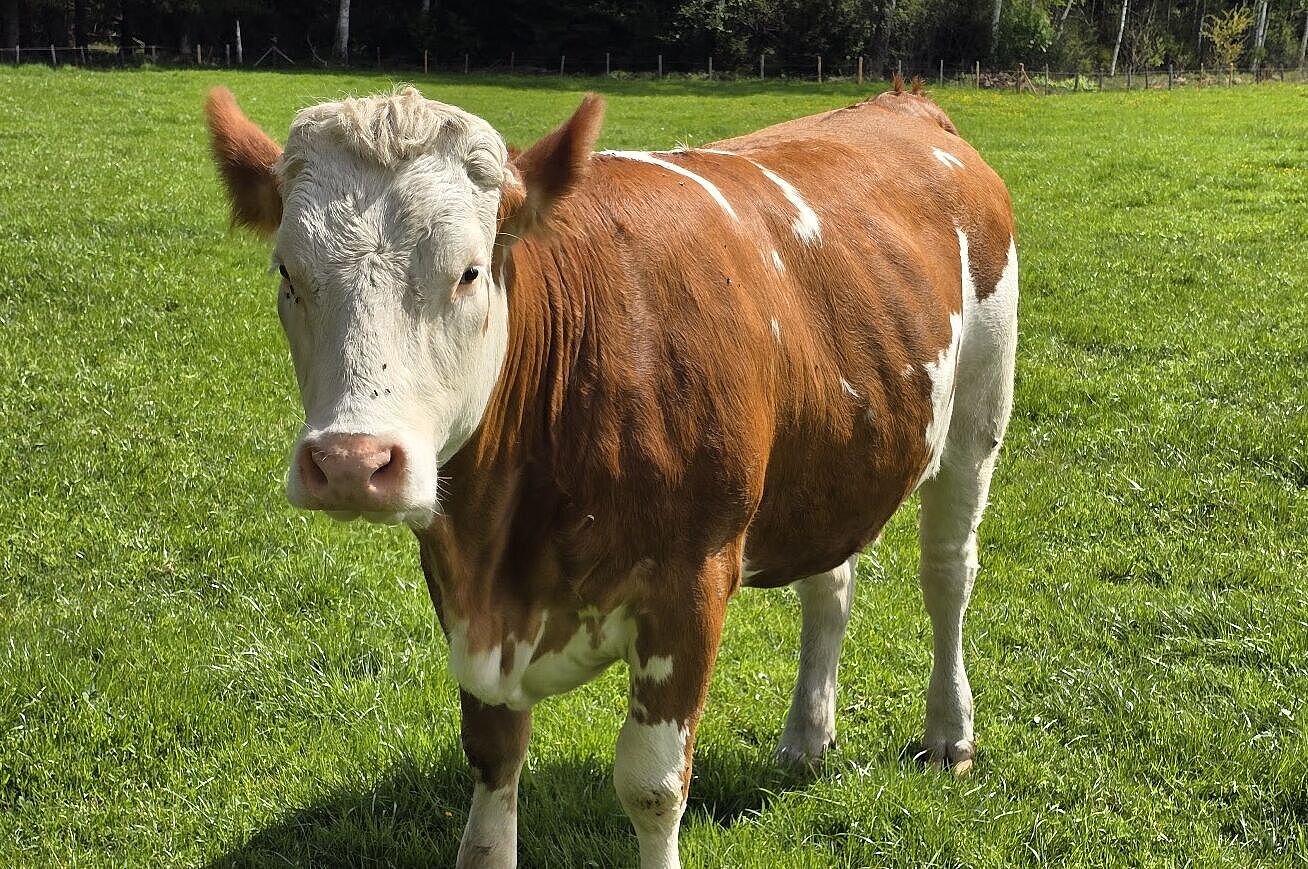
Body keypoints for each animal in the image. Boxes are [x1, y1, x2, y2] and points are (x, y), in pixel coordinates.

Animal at [205, 78, 1017, 868]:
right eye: (288, 272)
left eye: (468, 272)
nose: (350, 462)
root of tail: (905, 103)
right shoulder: (466, 596)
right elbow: (493, 762)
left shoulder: (691, 583)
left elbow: (652, 784)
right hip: (832, 459)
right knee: (831, 584)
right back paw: (806, 738)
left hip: (977, 418)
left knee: (949, 574)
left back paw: (949, 732)